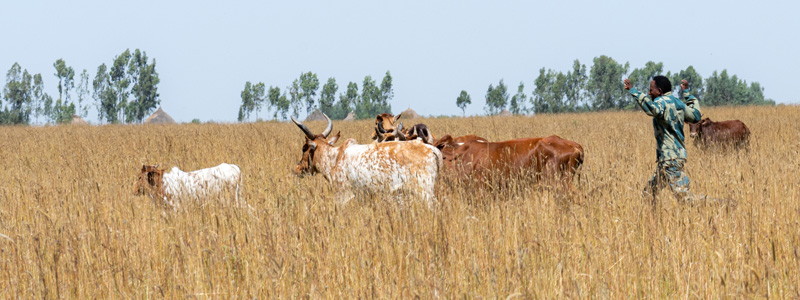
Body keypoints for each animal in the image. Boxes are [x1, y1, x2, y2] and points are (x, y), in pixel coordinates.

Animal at [292, 112, 444, 206]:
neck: (334, 158)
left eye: (304, 148)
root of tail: (430, 148)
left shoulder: (343, 195)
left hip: (424, 191)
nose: (297, 169)